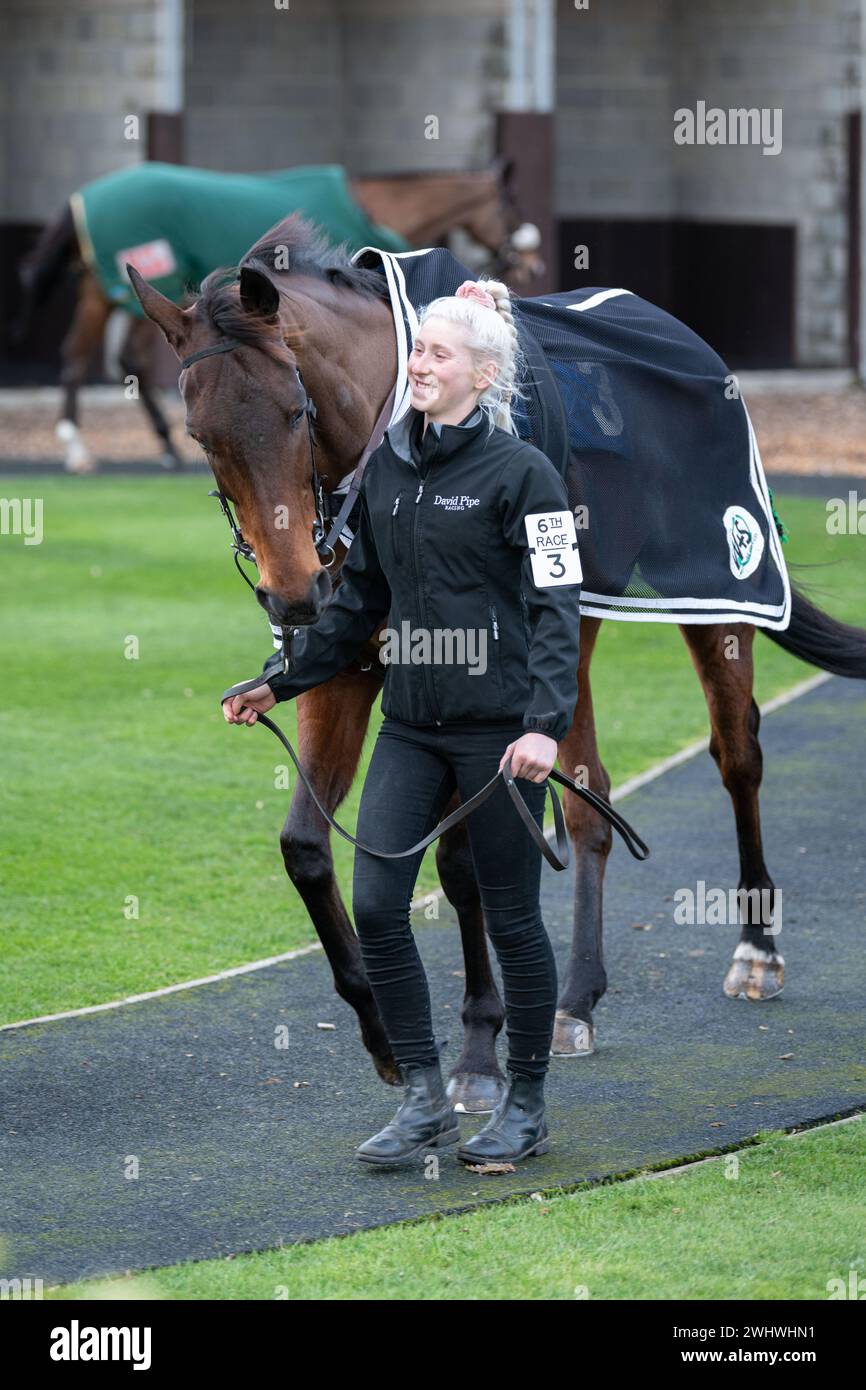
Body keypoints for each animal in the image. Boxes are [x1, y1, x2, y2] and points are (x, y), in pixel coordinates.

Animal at [16, 157, 539, 472]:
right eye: (511, 205)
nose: (533, 264)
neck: (374, 206)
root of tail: (82, 199)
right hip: (130, 287)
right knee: (92, 357)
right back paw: (84, 448)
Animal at [123, 214, 866, 1106]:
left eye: (296, 411)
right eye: (201, 435)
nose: (292, 593)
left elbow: (458, 857)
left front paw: (479, 1048)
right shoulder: (352, 666)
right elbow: (305, 845)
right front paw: (384, 1032)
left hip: (717, 590)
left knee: (737, 754)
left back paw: (756, 949)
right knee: (587, 801)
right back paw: (576, 997)